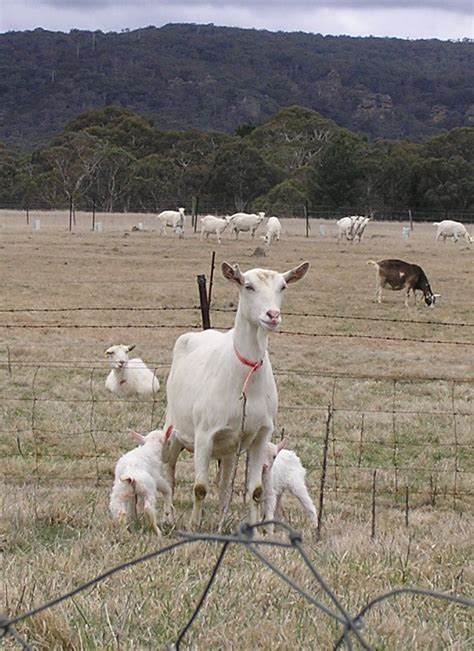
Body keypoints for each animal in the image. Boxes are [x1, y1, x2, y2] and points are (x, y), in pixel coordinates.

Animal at [163, 260, 312, 528]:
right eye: (248, 285)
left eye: (283, 286)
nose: (272, 315)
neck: (245, 376)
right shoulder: (204, 434)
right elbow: (199, 487)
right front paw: (193, 526)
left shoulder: (261, 434)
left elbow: (255, 490)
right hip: (173, 429)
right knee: (169, 471)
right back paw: (168, 515)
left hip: (229, 447)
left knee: (224, 484)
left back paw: (220, 519)